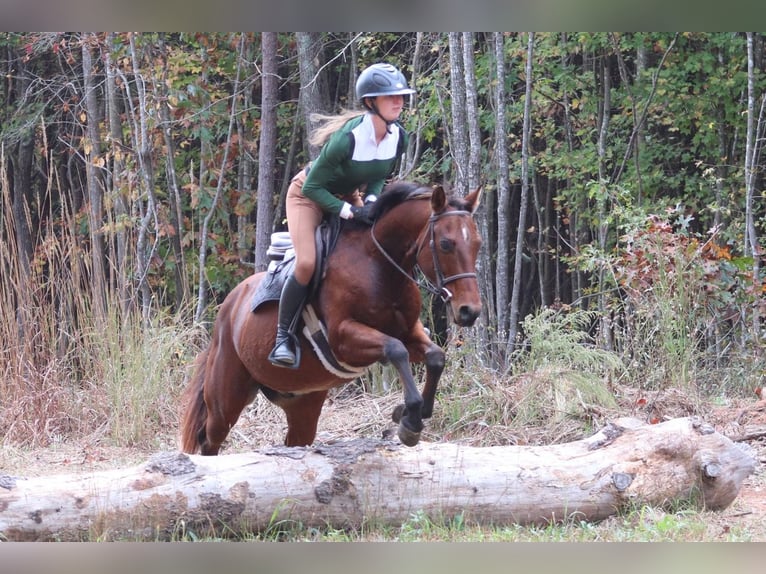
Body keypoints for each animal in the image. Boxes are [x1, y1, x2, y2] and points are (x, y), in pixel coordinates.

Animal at [181, 182, 484, 456]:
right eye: (445, 244)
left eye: (477, 244)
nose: (470, 311)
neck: (379, 266)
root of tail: (229, 307)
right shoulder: (343, 338)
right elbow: (396, 350)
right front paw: (409, 419)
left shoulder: (409, 332)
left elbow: (435, 357)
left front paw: (410, 413)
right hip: (226, 397)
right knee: (209, 439)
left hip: (303, 401)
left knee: (295, 440)